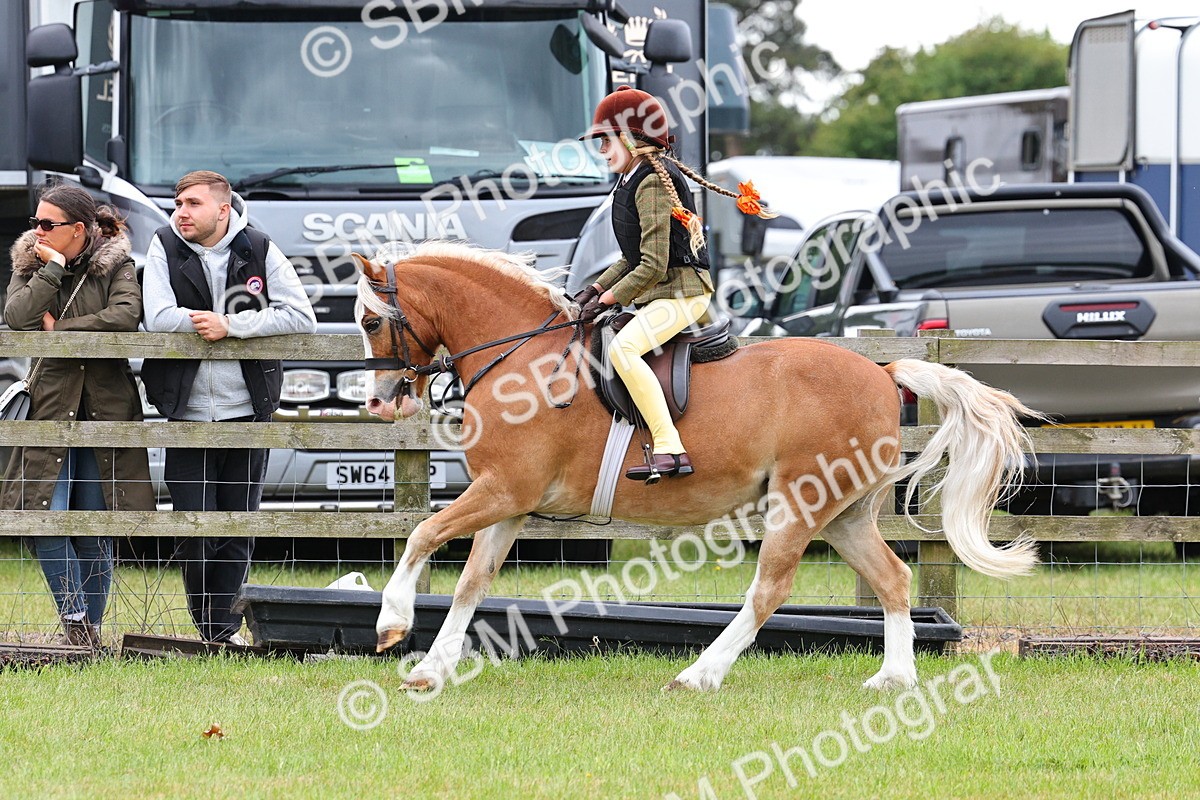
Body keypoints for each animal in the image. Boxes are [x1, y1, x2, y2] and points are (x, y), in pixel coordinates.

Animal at [352, 241, 1038, 692]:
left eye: (367, 319)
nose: (380, 403)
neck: (521, 356)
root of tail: (883, 370)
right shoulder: (509, 503)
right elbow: (471, 583)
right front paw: (430, 670)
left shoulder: (500, 491)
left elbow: (422, 534)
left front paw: (391, 624)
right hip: (843, 514)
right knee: (892, 579)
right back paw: (893, 679)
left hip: (801, 503)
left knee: (769, 590)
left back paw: (700, 673)